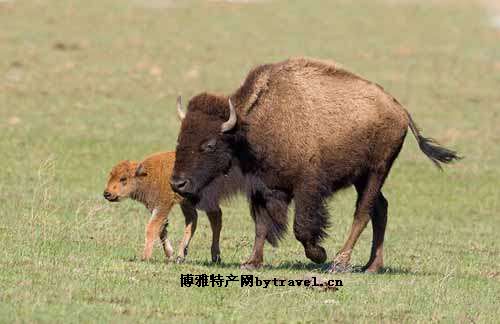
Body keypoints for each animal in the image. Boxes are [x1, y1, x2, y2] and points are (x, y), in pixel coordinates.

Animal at [170, 57, 458, 272]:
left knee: (363, 213)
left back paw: (340, 262)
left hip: (377, 171)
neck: (250, 125)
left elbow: (302, 226)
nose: (177, 183)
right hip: (362, 177)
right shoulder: (262, 189)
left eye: (209, 144)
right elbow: (261, 226)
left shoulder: (307, 188)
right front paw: (251, 262)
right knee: (380, 210)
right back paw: (371, 266)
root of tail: (399, 110)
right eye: (180, 138)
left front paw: (319, 254)